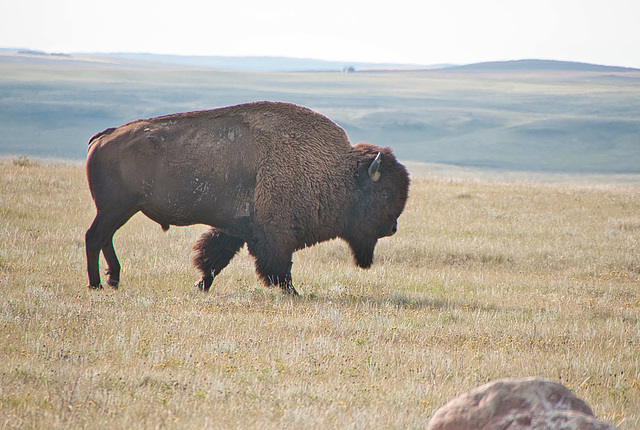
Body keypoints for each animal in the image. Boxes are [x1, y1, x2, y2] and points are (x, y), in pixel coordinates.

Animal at [85, 101, 410, 296]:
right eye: (384, 193)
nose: (393, 227)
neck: (333, 170)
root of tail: (104, 136)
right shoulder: (274, 234)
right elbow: (279, 267)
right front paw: (292, 292)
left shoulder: (234, 228)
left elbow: (214, 257)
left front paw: (200, 285)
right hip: (116, 208)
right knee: (95, 237)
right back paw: (97, 283)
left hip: (121, 210)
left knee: (104, 238)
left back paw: (112, 279)